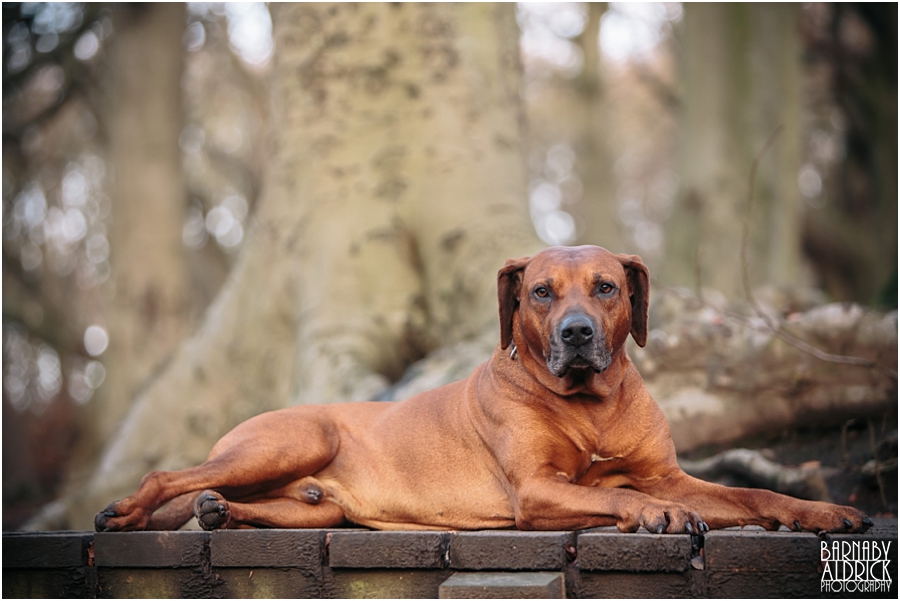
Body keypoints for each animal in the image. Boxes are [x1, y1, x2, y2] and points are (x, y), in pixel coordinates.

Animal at [96, 245, 872, 536]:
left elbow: (753, 493)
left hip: (316, 506)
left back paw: (220, 511)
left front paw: (820, 511)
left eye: (607, 287)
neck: (590, 405)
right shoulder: (536, 490)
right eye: (539, 292)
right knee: (170, 473)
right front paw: (653, 514)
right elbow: (622, 495)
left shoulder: (669, 472)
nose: (578, 334)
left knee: (253, 502)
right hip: (295, 437)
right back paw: (133, 511)